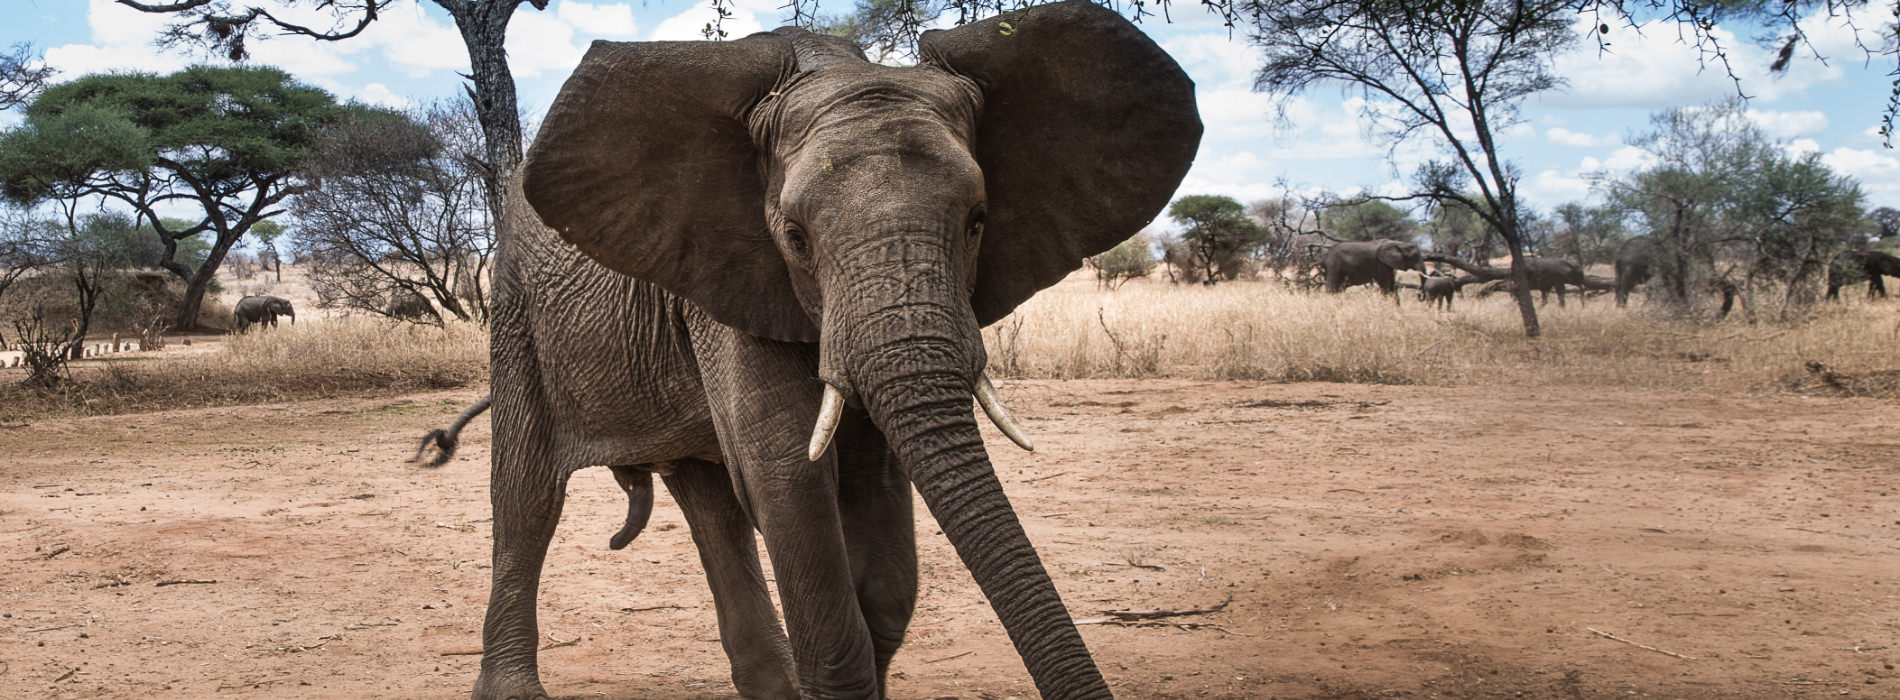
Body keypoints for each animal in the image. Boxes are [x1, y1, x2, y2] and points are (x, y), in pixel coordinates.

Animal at [449, 4, 1201, 699]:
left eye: (977, 221)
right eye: (795, 236)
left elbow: (879, 531)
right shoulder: (732, 273)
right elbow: (787, 470)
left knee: (712, 502)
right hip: (516, 311)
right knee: (527, 497)